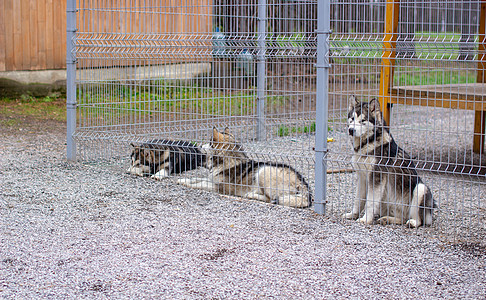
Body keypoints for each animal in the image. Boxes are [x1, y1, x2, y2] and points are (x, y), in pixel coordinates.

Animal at [178, 127, 312, 209]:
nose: (199, 146)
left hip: (263, 170)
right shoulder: (211, 180)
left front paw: (187, 183)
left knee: (270, 199)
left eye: (210, 142)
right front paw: (182, 180)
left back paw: (251, 195)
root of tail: (303, 184)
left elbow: (199, 184)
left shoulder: (219, 188)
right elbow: (195, 179)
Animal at [344, 96, 434, 227]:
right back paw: (387, 219)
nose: (351, 130)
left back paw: (412, 222)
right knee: (402, 219)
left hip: (421, 188)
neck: (367, 144)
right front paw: (353, 215)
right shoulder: (362, 178)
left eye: (363, 120)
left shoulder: (376, 178)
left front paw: (366, 219)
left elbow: (370, 202)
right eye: (352, 118)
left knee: (419, 220)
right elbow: (358, 200)